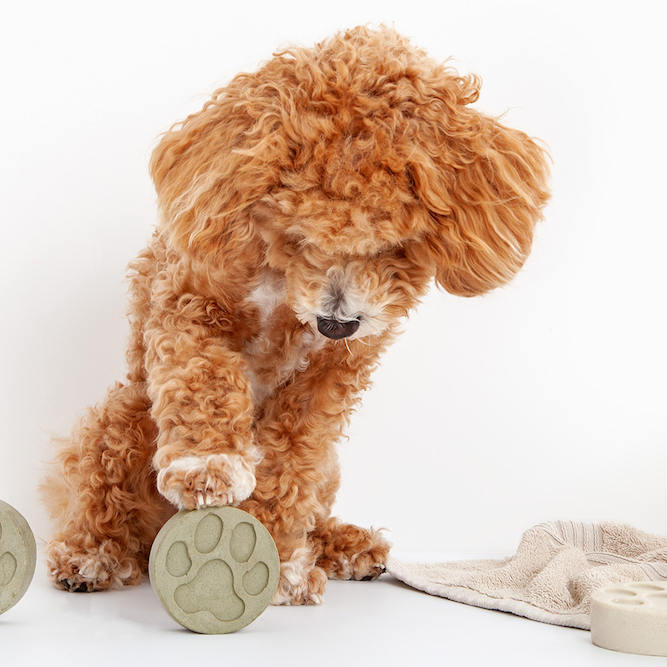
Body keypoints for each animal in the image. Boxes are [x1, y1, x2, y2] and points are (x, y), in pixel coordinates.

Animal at [43, 26, 552, 604]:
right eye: (299, 234)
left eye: (394, 245)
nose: (337, 323)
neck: (286, 295)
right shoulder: (190, 306)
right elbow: (204, 381)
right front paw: (209, 466)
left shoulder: (333, 375)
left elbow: (291, 460)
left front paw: (278, 561)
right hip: (120, 419)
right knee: (103, 494)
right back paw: (90, 554)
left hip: (330, 469)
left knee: (314, 503)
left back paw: (344, 547)